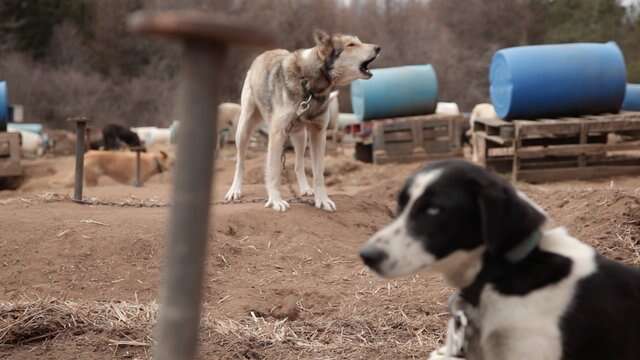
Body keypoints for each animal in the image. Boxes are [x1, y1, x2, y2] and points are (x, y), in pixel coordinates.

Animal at [225, 31, 380, 212]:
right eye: (351, 45)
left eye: (358, 42)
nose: (378, 48)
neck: (310, 87)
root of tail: (263, 54)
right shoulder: (277, 134)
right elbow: (274, 172)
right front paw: (275, 201)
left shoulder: (319, 133)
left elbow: (318, 174)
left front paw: (322, 200)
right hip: (244, 129)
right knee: (240, 163)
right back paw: (235, 190)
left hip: (300, 136)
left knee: (298, 165)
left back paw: (305, 189)